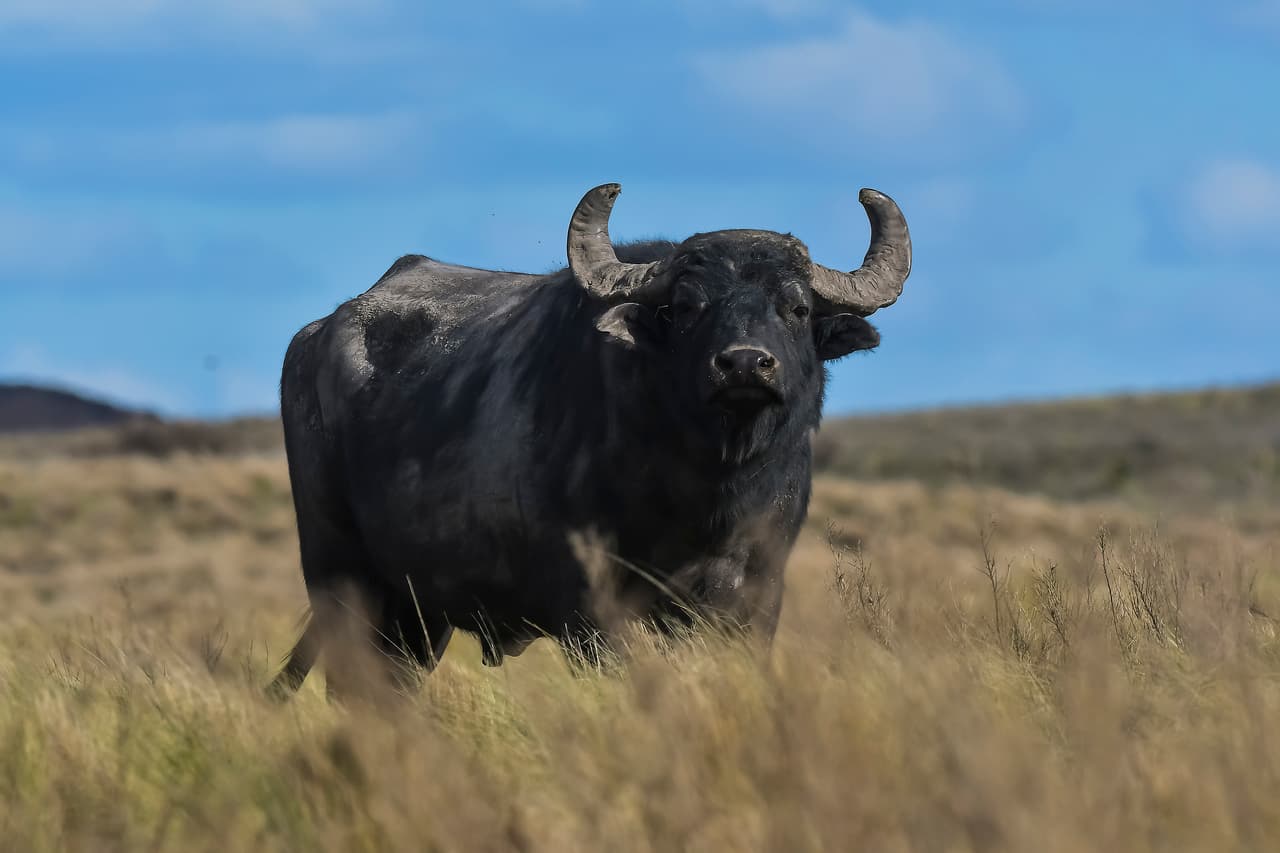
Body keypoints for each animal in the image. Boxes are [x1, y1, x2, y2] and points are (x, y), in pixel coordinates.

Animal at [269, 183, 911, 696]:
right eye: (686, 307)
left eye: (796, 307)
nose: (746, 364)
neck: (703, 494)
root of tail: (314, 336)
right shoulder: (588, 608)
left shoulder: (753, 596)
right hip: (339, 576)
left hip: (417, 610)